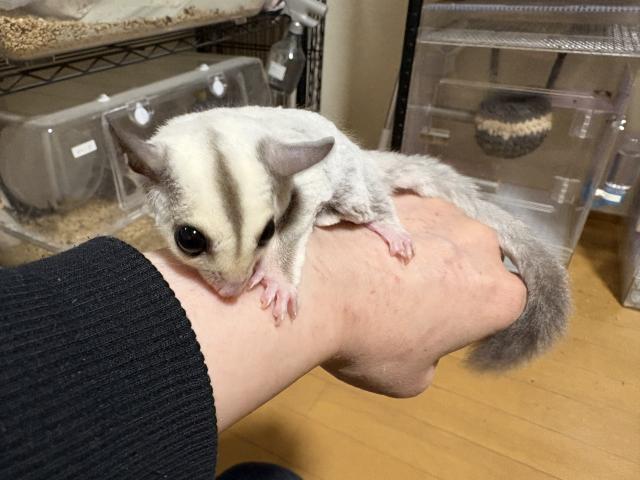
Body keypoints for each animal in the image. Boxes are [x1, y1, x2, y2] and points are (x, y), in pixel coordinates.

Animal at [111, 106, 570, 371]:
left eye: (268, 232)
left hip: (355, 185)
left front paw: (277, 280)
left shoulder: (306, 184)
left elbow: (297, 226)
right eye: (188, 240)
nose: (233, 290)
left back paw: (388, 227)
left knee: (372, 203)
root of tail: (366, 158)